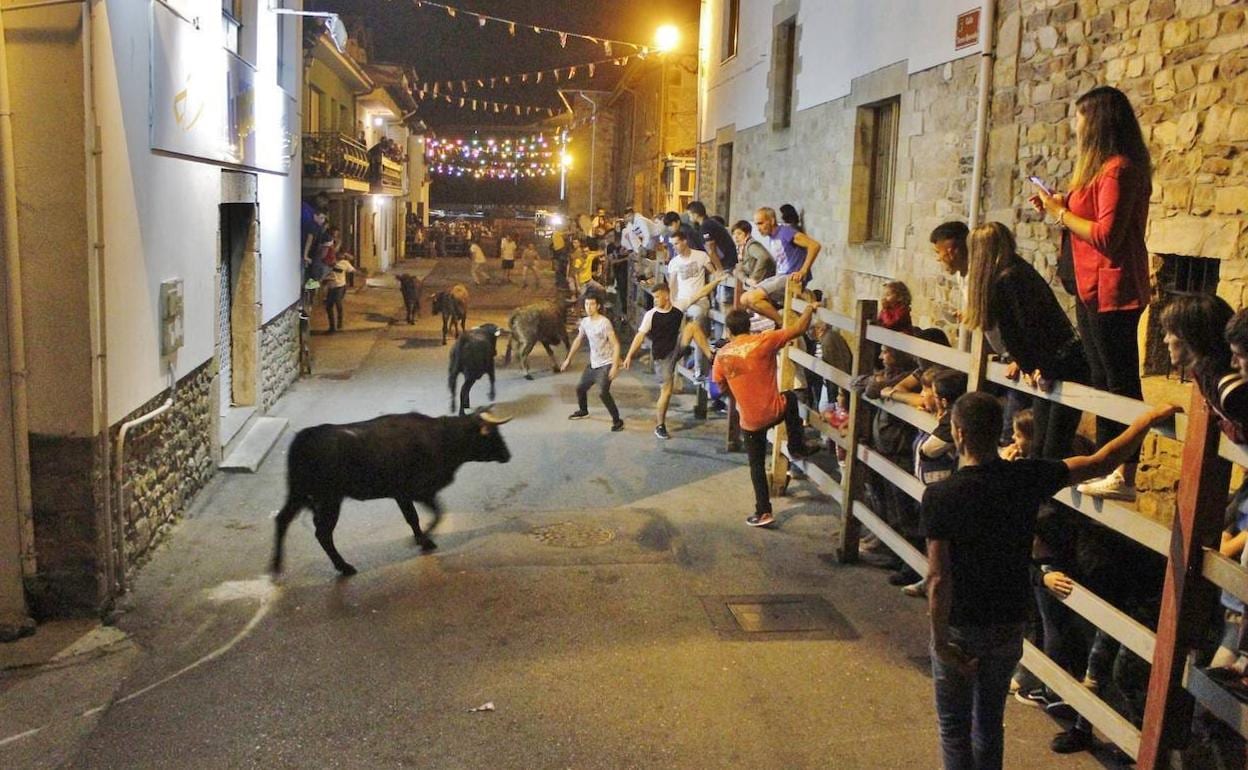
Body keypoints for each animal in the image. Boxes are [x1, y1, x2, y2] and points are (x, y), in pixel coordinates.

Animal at [269, 404, 511, 574]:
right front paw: (424, 540)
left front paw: (422, 539)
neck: (443, 439)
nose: (508, 455)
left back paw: (276, 564)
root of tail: (304, 437)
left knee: (282, 519)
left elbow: (415, 518)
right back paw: (344, 567)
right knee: (322, 533)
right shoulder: (417, 491)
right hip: (329, 499)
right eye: (493, 434)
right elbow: (434, 514)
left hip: (298, 492)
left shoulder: (402, 494)